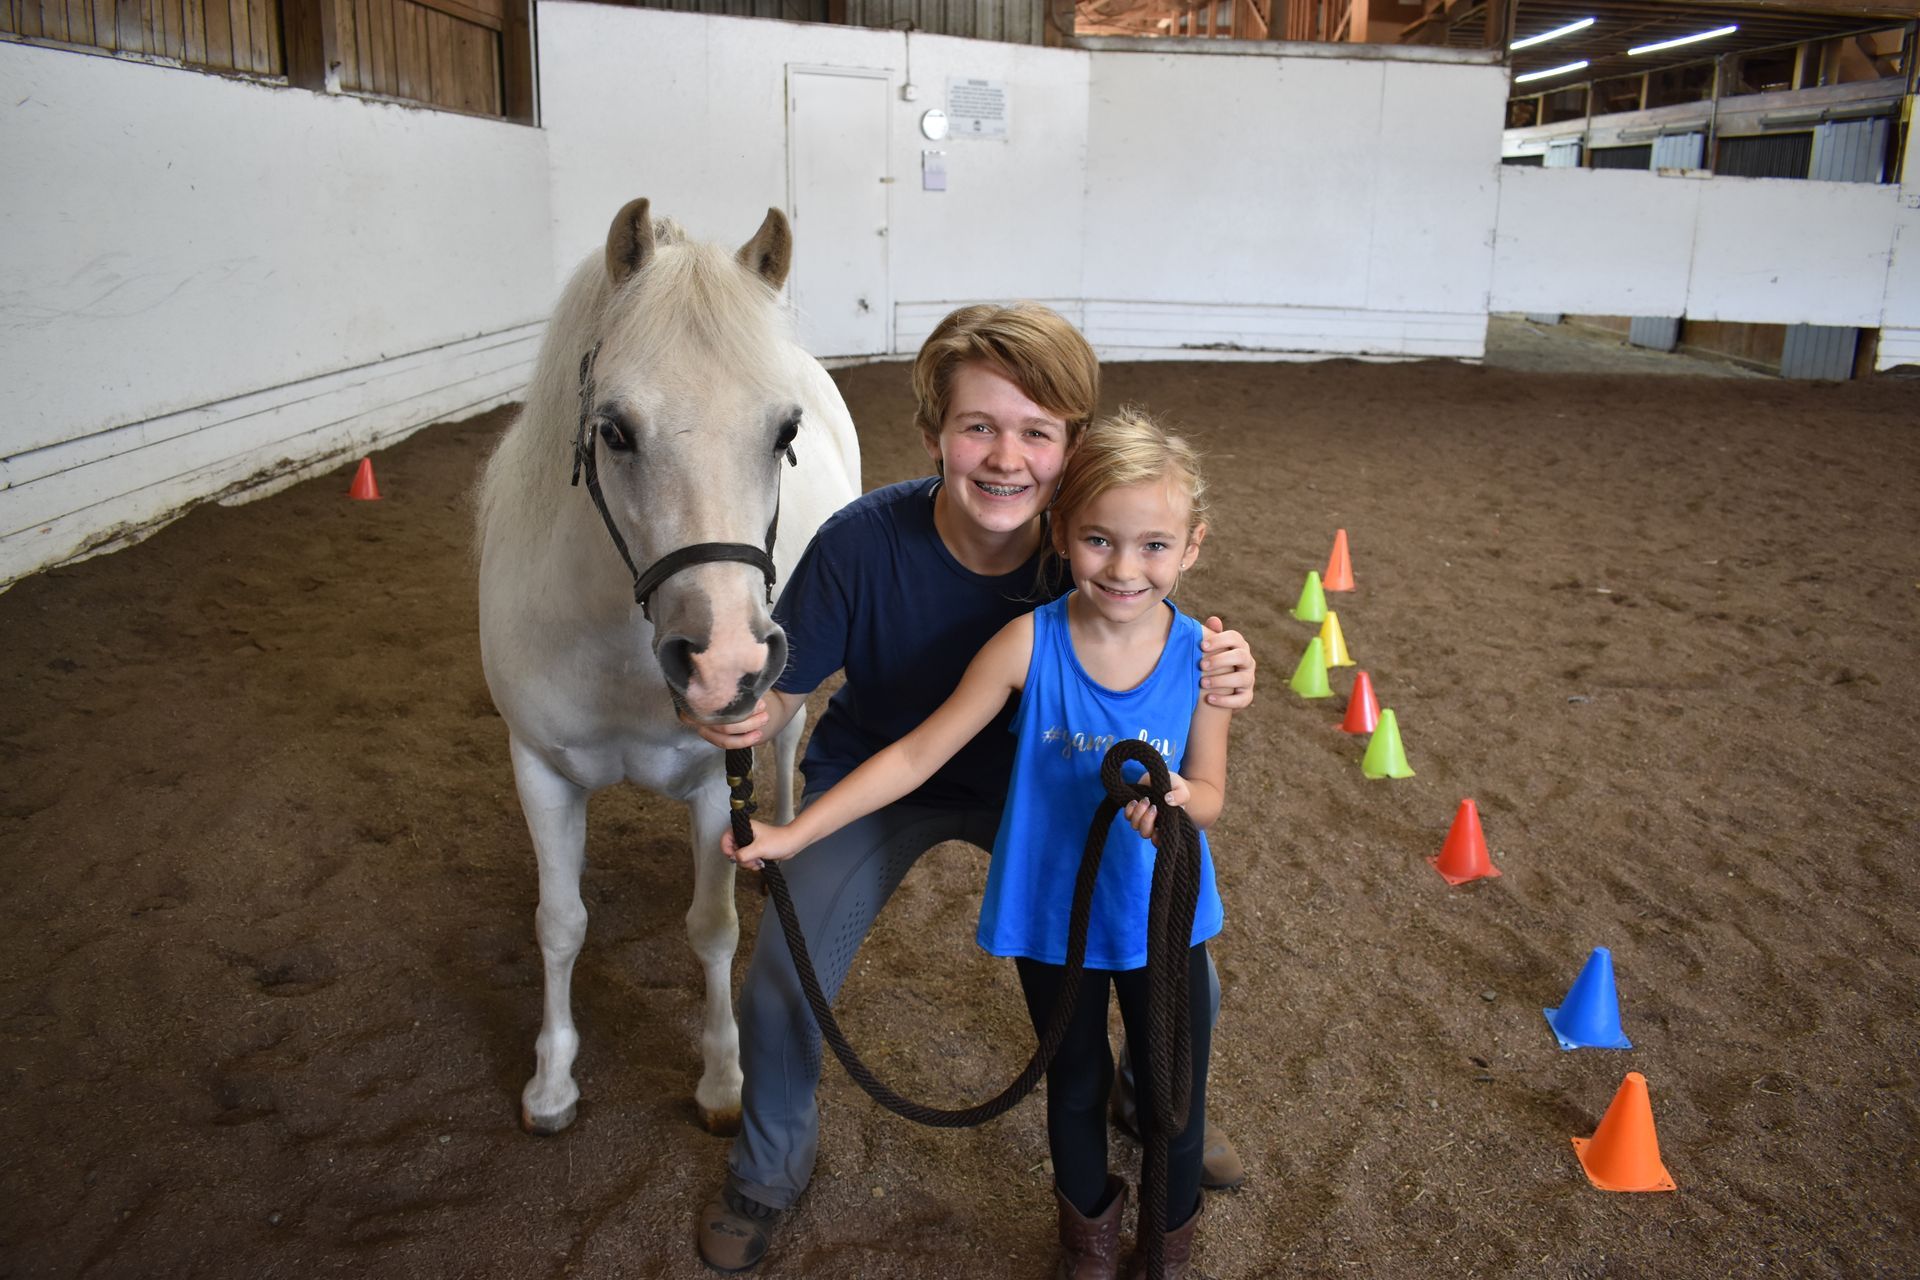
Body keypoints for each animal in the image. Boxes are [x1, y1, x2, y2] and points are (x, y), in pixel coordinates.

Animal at [476, 198, 861, 1136]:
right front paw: (552, 1080)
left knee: (790, 743)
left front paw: (722, 1081)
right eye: (614, 430)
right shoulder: (538, 769)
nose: (723, 665)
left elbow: (712, 927)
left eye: (785, 432)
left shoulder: (716, 778)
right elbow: (559, 922)